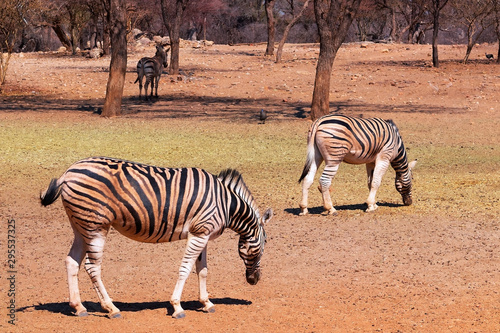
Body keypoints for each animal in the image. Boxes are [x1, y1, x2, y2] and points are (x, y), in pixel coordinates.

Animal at [40, 157, 272, 318]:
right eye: (265, 244)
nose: (255, 280)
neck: (226, 203)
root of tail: (68, 172)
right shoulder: (199, 233)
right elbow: (185, 268)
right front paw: (177, 306)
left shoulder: (203, 234)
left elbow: (202, 270)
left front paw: (206, 303)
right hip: (96, 226)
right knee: (92, 266)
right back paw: (111, 308)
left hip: (81, 226)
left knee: (72, 262)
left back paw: (79, 307)